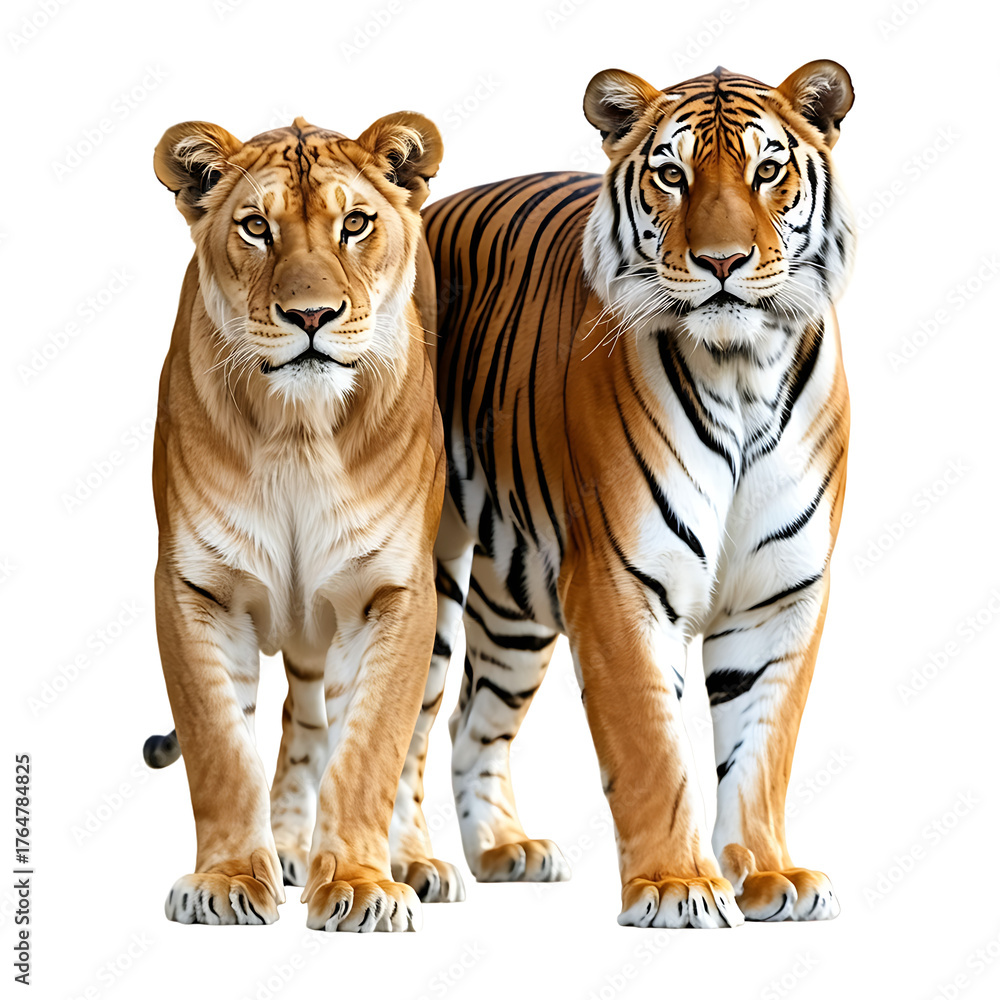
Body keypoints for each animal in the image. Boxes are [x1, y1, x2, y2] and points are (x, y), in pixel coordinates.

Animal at [143, 111, 446, 932]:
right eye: (256, 227)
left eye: (354, 224)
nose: (311, 315)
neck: (299, 431)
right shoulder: (196, 588)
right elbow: (222, 747)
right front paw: (225, 881)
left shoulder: (393, 593)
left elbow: (372, 746)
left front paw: (365, 887)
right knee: (298, 722)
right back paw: (285, 850)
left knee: (409, 739)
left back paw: (418, 863)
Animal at [389, 61, 855, 927]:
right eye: (672, 176)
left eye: (767, 171)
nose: (722, 261)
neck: (741, 370)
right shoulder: (618, 584)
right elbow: (650, 746)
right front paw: (676, 886)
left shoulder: (781, 593)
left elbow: (762, 747)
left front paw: (772, 875)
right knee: (395, 724)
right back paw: (407, 864)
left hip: (513, 607)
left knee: (473, 719)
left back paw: (502, 849)